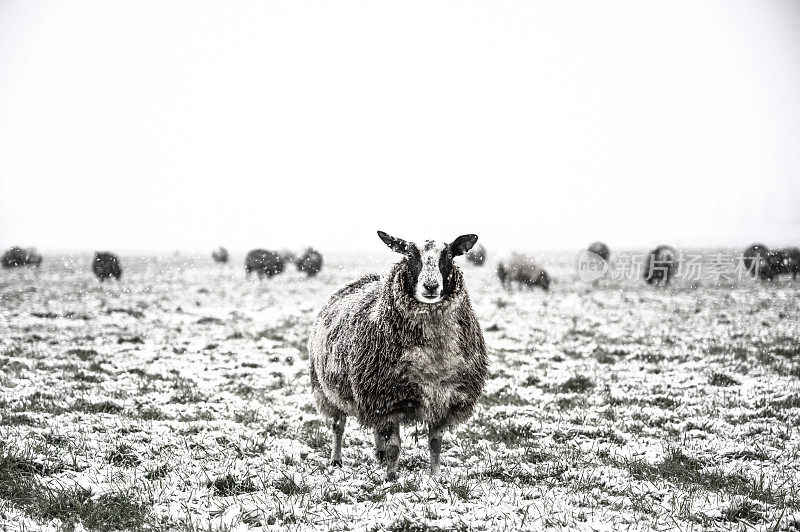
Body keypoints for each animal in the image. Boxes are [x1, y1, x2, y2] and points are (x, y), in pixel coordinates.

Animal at [308, 231, 488, 480]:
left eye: (449, 254)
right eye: (410, 255)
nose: (431, 286)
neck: (433, 360)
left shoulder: (443, 399)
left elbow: (435, 444)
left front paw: (435, 477)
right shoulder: (388, 398)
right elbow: (395, 445)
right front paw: (391, 478)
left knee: (376, 428)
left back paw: (380, 454)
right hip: (328, 390)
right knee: (338, 425)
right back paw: (336, 460)